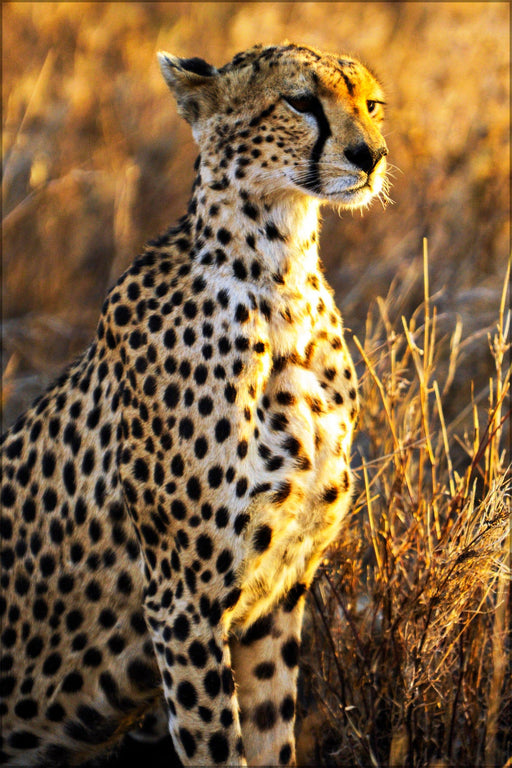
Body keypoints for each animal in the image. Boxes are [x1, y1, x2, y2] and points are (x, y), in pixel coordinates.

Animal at [0, 43, 384, 768]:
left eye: (372, 104)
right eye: (301, 102)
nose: (371, 156)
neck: (281, 277)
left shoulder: (278, 602)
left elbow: (270, 737)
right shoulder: (183, 605)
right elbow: (218, 748)